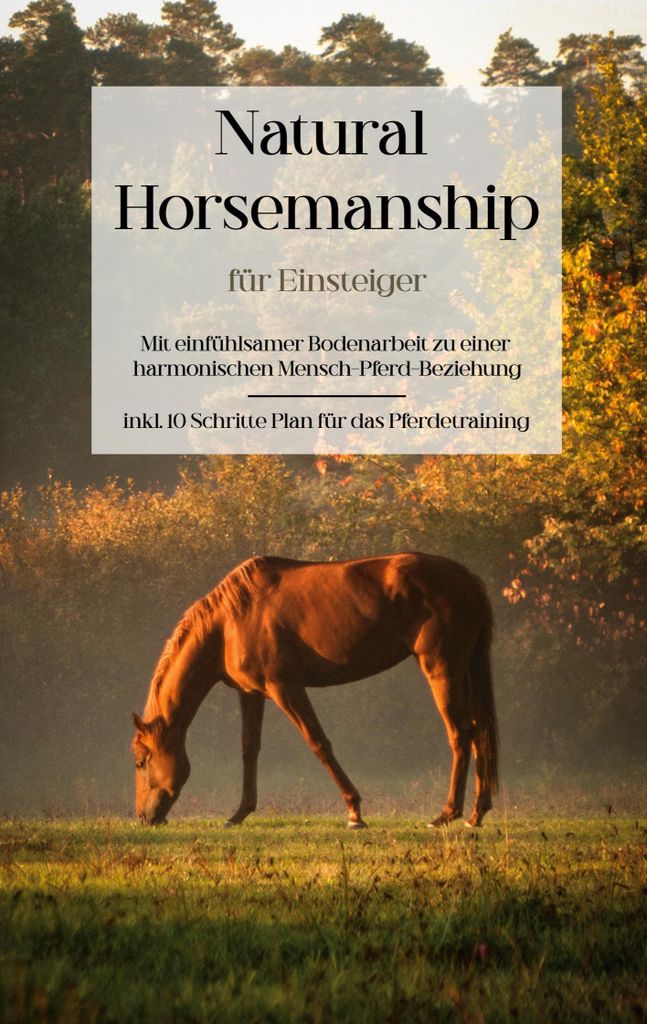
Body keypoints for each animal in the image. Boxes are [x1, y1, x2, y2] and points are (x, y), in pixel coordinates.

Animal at [131, 552, 499, 829]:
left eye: (140, 762)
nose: (144, 817)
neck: (230, 622)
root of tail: (470, 579)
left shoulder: (285, 688)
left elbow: (318, 743)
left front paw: (354, 812)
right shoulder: (251, 694)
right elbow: (250, 749)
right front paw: (239, 814)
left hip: (441, 670)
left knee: (460, 733)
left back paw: (447, 814)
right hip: (463, 671)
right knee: (478, 732)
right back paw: (477, 813)